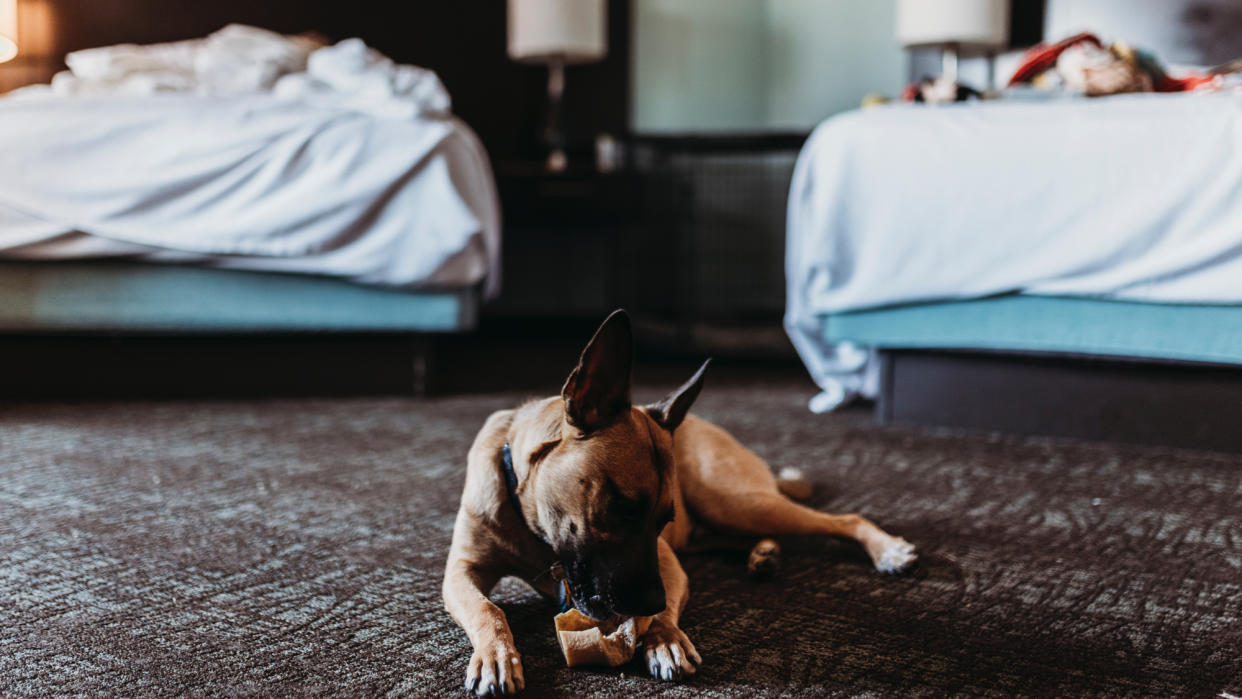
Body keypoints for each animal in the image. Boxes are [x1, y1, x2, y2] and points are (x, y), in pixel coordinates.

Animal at [444, 310, 914, 695]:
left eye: (660, 520)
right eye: (622, 506)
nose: (649, 603)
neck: (530, 521)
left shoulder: (667, 560)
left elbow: (669, 601)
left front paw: (664, 636)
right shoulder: (459, 572)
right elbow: (487, 609)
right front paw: (496, 656)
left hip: (733, 502)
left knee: (843, 518)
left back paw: (886, 549)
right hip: (716, 522)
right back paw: (763, 554)